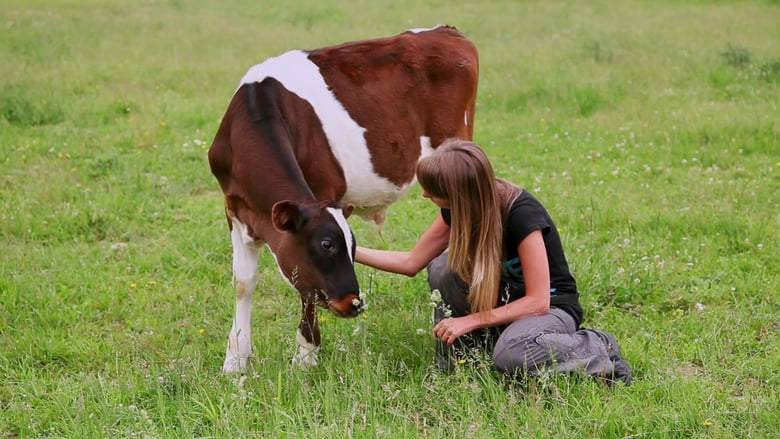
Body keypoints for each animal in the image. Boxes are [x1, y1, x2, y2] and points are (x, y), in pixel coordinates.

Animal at [204, 24, 478, 374]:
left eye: (351, 245)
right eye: (328, 244)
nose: (355, 303)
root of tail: (444, 30)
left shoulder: (324, 190)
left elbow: (305, 289)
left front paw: (306, 356)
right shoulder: (235, 209)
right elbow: (244, 281)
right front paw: (236, 361)